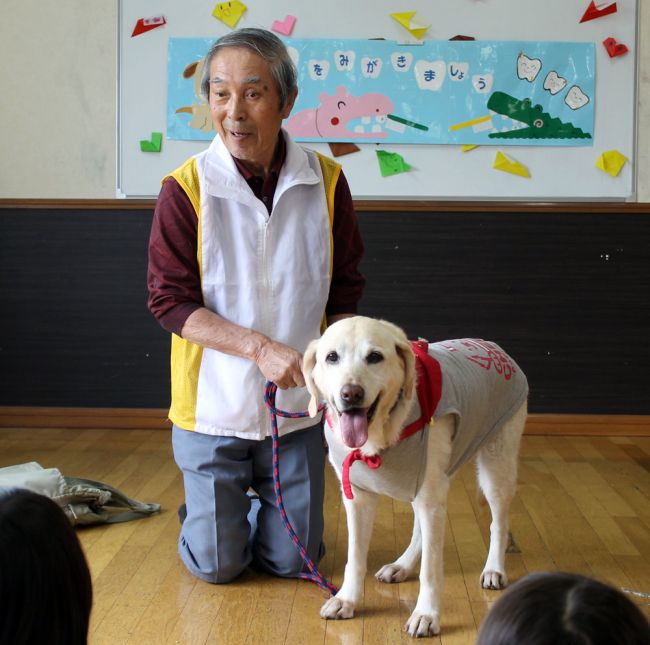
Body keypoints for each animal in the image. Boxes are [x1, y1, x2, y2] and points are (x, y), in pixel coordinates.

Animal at [304, 314, 528, 636]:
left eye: (375, 357)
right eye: (331, 357)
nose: (351, 394)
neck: (380, 436)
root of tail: (493, 347)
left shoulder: (430, 496)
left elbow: (431, 571)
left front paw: (427, 614)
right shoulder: (358, 498)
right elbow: (355, 557)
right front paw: (347, 599)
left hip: (495, 465)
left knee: (498, 522)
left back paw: (494, 568)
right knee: (422, 530)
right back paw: (402, 565)